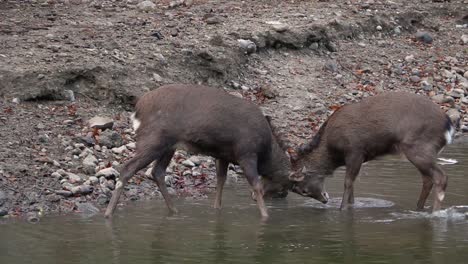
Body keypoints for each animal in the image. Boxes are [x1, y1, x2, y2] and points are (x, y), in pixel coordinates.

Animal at [106, 84, 296, 219]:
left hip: (169, 146)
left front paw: (217, 209)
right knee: (128, 168)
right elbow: (255, 183)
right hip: (154, 139)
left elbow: (221, 181)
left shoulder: (223, 155)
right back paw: (108, 213)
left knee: (157, 172)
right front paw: (265, 216)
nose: (285, 195)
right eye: (286, 184)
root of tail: (137, 111)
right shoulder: (246, 152)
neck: (266, 150)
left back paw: (174, 210)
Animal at [284, 92, 456, 211]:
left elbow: (348, 182)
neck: (333, 151)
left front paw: (342, 209)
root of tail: (448, 125)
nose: (325, 200)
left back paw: (435, 213)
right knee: (427, 179)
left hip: (419, 147)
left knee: (440, 177)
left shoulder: (355, 150)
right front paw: (351, 205)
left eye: (303, 190)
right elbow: (352, 185)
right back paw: (419, 208)